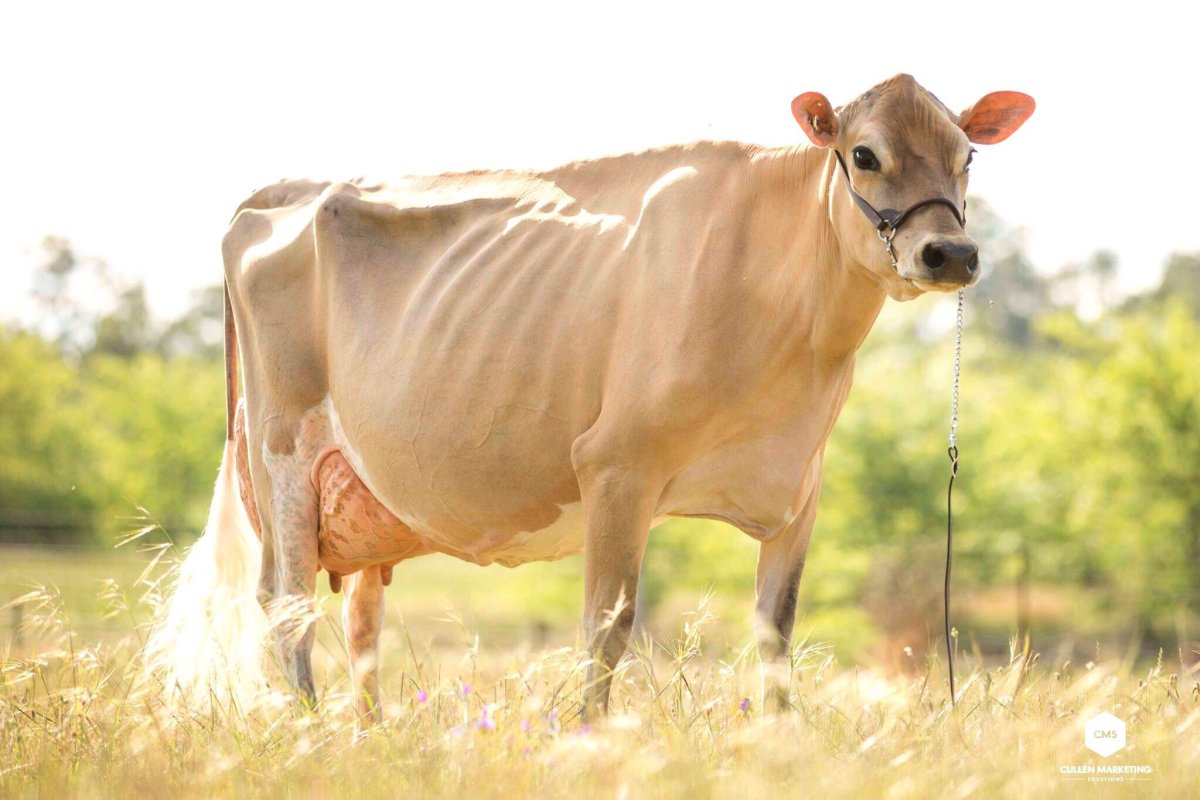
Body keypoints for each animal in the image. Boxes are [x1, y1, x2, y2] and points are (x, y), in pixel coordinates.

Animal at [144, 74, 1034, 722]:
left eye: (966, 155)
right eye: (864, 153)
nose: (949, 252)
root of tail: (281, 191)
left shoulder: (798, 490)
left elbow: (775, 630)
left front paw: (783, 740)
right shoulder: (615, 469)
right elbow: (607, 627)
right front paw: (589, 737)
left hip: (365, 491)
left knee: (362, 620)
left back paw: (370, 734)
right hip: (282, 456)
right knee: (287, 607)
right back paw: (312, 732)